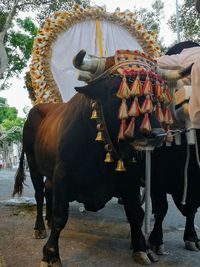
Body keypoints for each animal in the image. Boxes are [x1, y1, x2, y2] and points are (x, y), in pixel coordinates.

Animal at [13, 75, 165, 266]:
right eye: (115, 94)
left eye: (151, 97)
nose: (159, 134)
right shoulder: (62, 176)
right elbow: (60, 217)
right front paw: (50, 254)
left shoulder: (130, 180)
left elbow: (136, 213)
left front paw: (141, 247)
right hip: (33, 163)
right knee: (39, 195)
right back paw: (39, 227)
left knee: (47, 190)